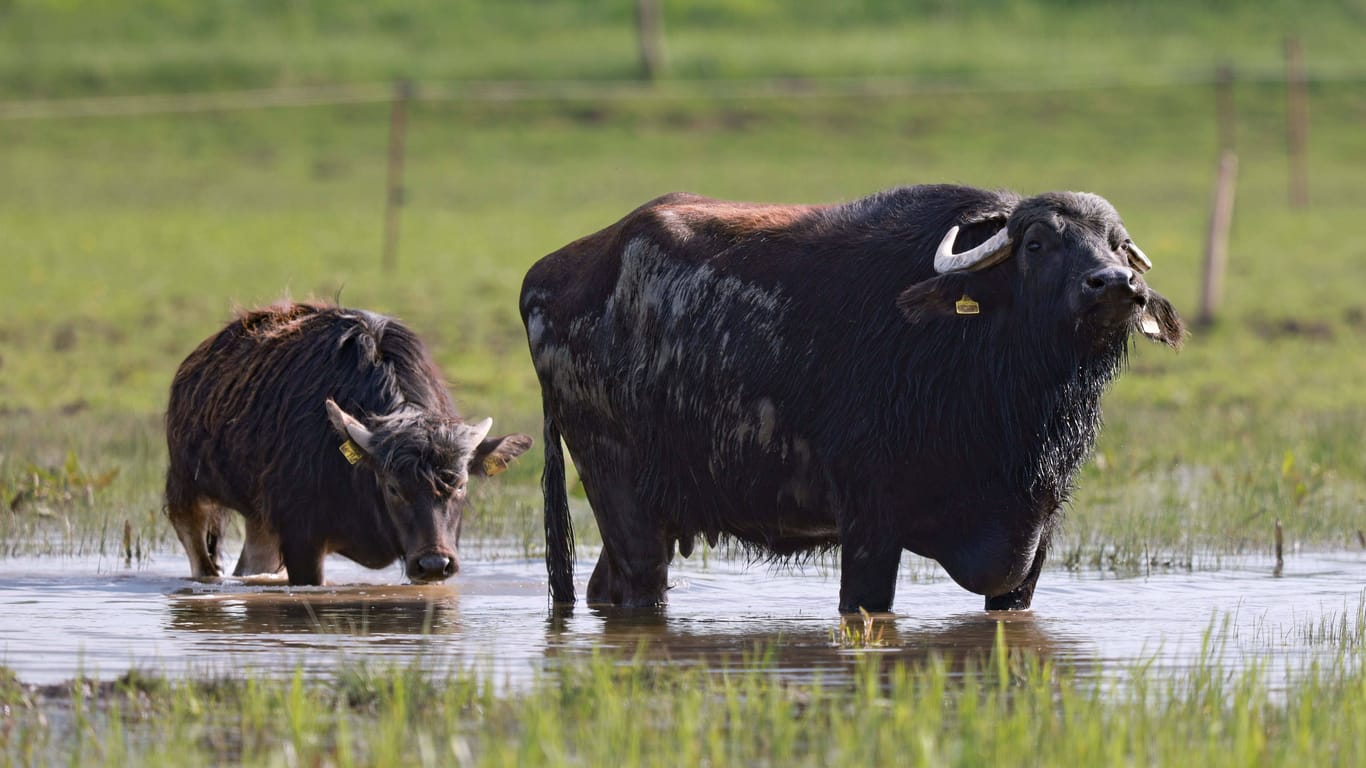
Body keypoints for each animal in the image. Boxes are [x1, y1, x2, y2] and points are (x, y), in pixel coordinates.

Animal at [162, 302, 530, 582]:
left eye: (461, 485)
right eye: (393, 487)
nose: (434, 564)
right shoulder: (300, 539)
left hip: (259, 520)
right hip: (187, 488)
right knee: (200, 553)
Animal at [521, 184, 1185, 609]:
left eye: (1117, 243)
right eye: (1038, 244)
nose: (1115, 284)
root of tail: (545, 276)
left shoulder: (1031, 550)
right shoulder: (869, 525)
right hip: (618, 490)